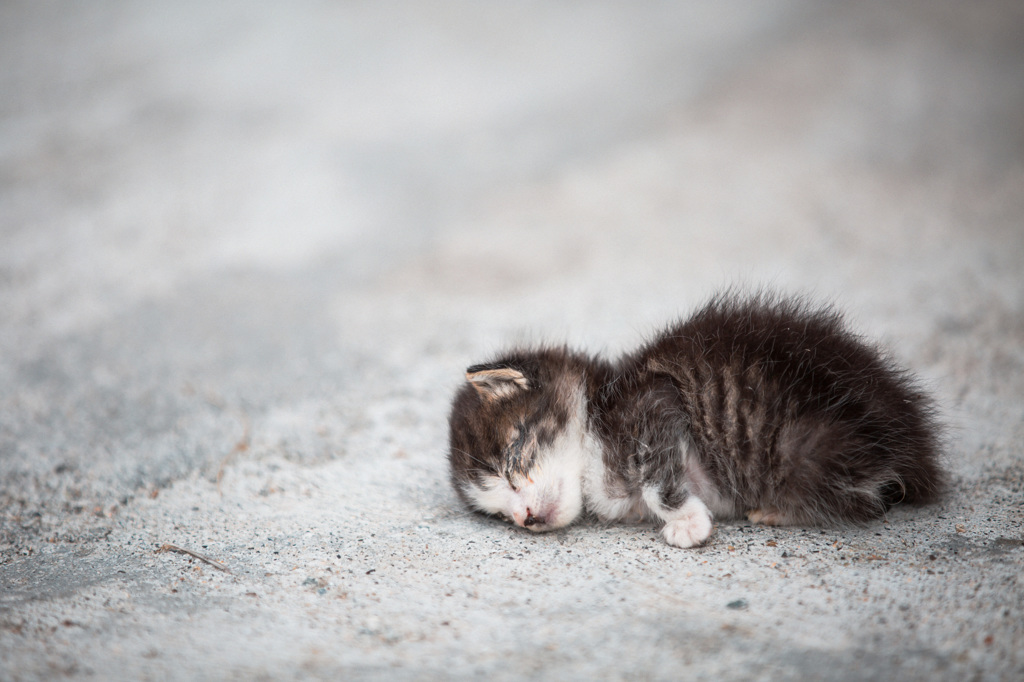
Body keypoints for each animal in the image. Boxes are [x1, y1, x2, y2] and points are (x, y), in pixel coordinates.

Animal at [448, 290, 942, 548]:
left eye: (512, 461)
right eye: (497, 511)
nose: (525, 518)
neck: (596, 413)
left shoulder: (654, 401)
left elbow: (657, 479)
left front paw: (689, 523)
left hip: (804, 447)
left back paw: (776, 510)